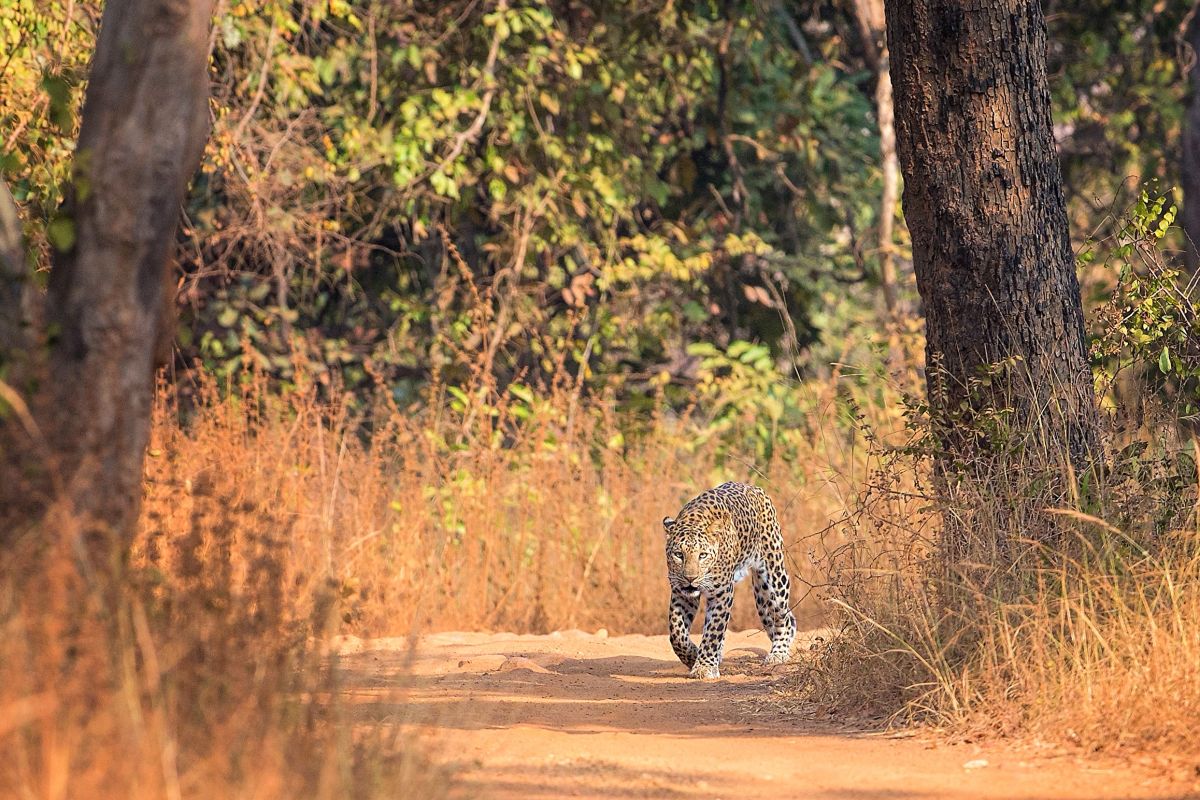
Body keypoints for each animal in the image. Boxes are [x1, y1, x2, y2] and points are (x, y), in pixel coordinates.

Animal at [662, 481, 796, 679]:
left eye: (703, 555)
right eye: (679, 555)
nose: (690, 578)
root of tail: (755, 488)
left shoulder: (722, 593)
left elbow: (713, 631)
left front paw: (704, 667)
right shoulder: (681, 593)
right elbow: (676, 632)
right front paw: (693, 655)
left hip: (773, 580)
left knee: (784, 619)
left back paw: (778, 653)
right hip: (762, 597)